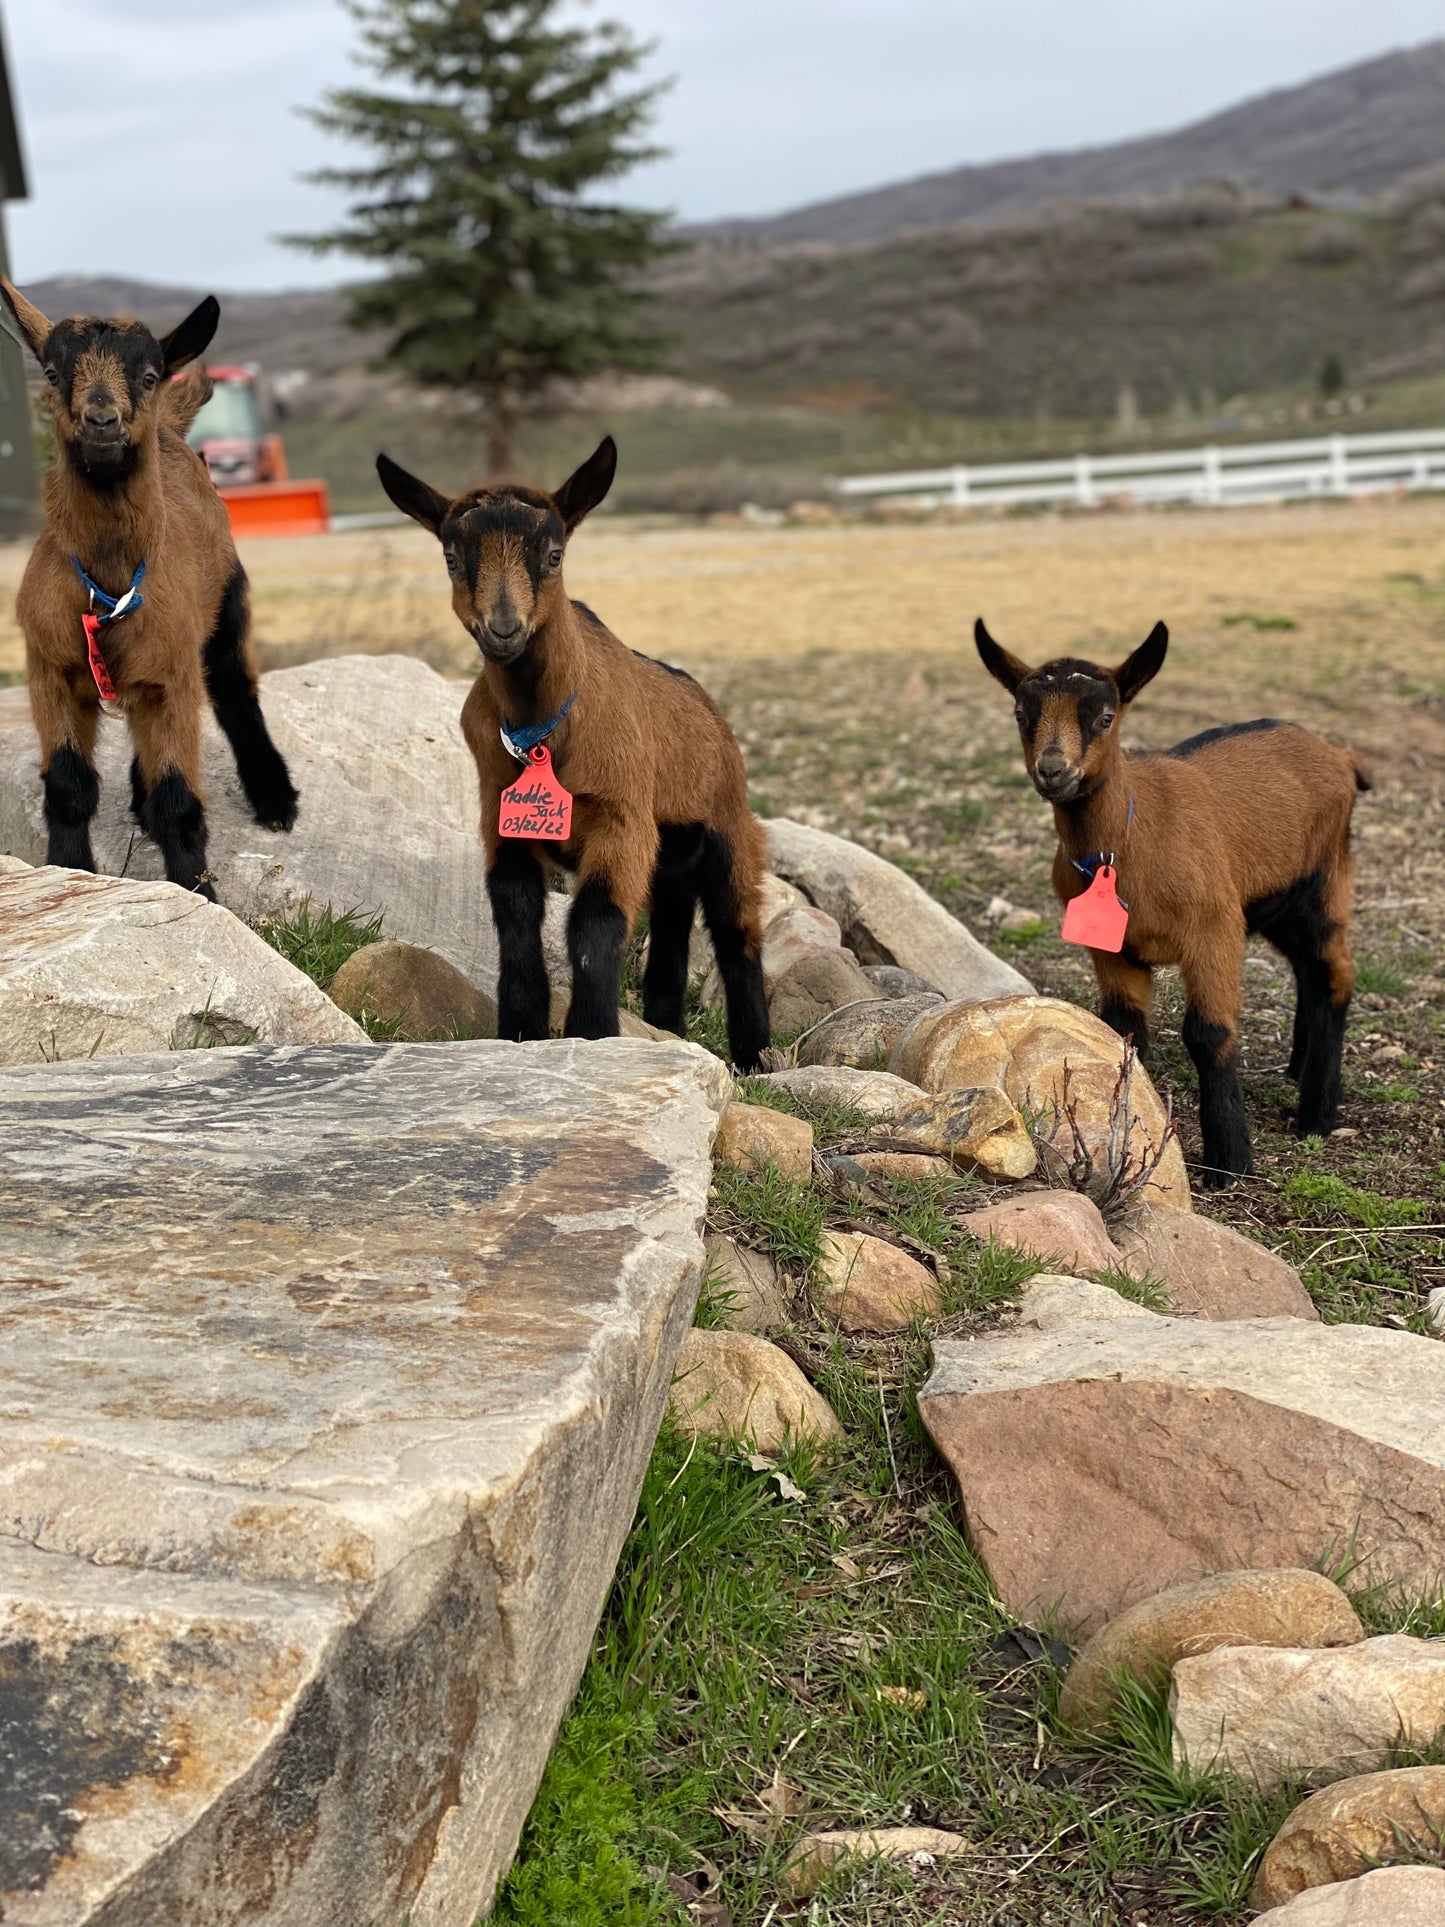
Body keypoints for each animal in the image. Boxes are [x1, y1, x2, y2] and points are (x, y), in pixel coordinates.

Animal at [0, 280, 298, 897]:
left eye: (148, 375)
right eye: (52, 372)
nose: (101, 421)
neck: (108, 587)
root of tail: (171, 431)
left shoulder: (173, 674)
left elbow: (178, 802)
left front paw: (198, 892)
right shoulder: (50, 668)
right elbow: (68, 788)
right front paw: (70, 871)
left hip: (226, 608)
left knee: (236, 690)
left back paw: (275, 799)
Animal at [375, 436, 772, 1068]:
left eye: (555, 555)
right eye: (451, 559)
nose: (504, 628)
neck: (543, 732)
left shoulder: (621, 819)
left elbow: (595, 923)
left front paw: (592, 1033)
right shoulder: (502, 818)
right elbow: (514, 914)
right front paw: (520, 1029)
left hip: (728, 829)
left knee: (738, 935)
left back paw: (755, 1057)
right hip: (673, 853)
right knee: (671, 923)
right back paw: (668, 1027)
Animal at [975, 617, 1370, 1187]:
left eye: (1105, 717)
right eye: (1021, 714)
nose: (1053, 770)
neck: (1131, 838)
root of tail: (1340, 755)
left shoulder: (1214, 930)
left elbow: (1208, 1034)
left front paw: (1229, 1164)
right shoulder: (1114, 951)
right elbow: (1122, 1031)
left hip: (1324, 882)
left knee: (1335, 972)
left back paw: (1316, 1114)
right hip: (1274, 902)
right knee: (1307, 969)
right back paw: (1298, 1069)